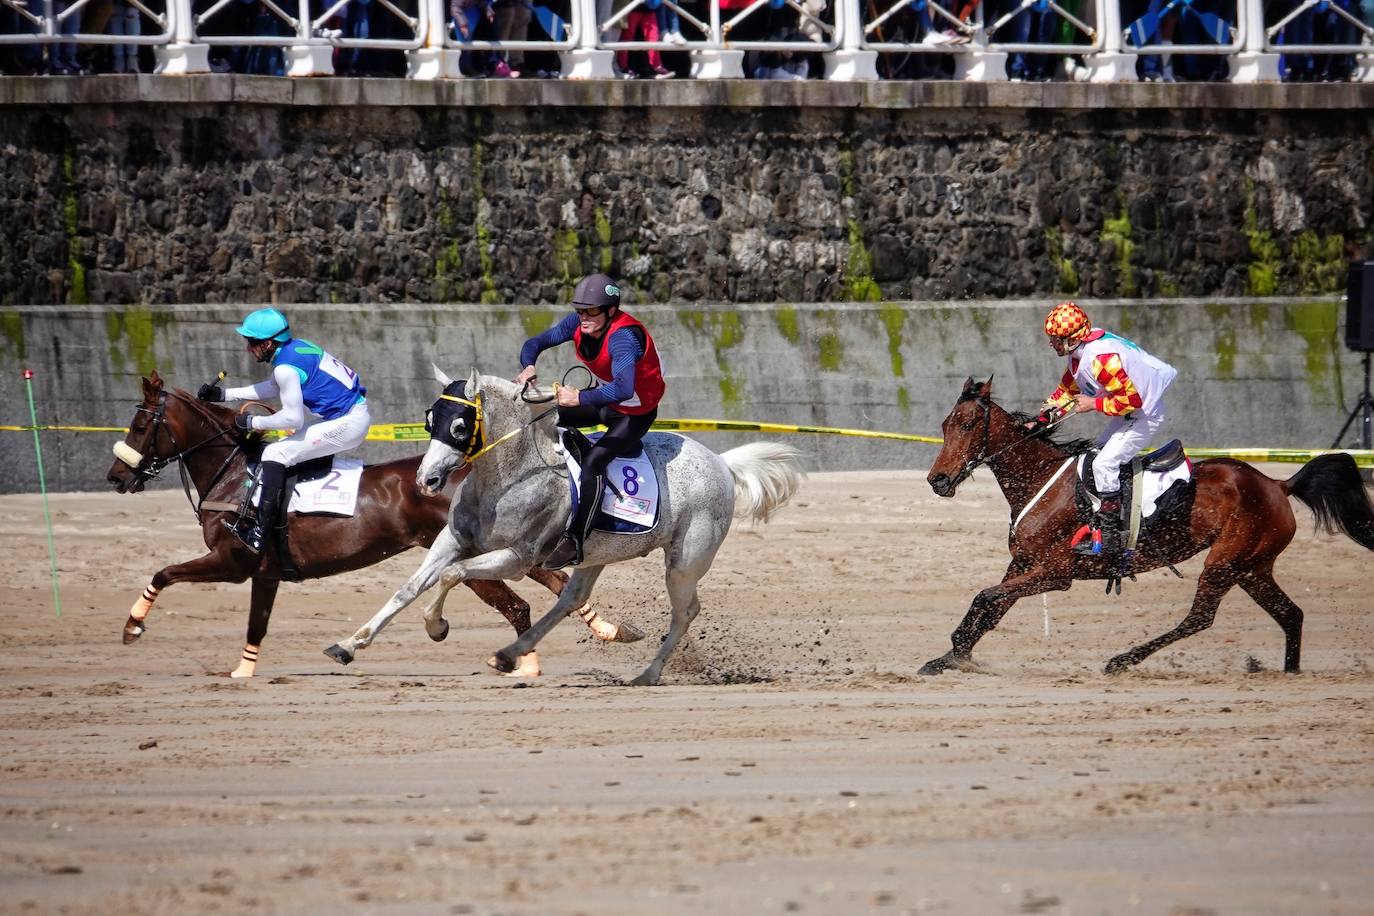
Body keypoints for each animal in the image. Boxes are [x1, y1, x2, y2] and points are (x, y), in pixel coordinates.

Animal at [109, 373, 640, 681]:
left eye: (140, 424)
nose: (116, 477)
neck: (238, 476)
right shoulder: (265, 572)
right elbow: (256, 622)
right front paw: (244, 671)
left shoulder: (233, 560)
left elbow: (163, 572)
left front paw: (133, 625)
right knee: (548, 581)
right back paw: (603, 631)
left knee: (524, 597)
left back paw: (536, 655)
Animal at [917, 376, 1374, 678]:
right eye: (944, 425)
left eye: (968, 425)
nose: (938, 479)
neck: (1042, 481)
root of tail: (1278, 484)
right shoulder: (1024, 564)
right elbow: (992, 606)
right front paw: (948, 657)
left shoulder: (1055, 573)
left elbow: (984, 597)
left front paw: (954, 652)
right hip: (1252, 567)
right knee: (1291, 615)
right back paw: (1289, 672)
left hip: (1225, 562)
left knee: (1199, 618)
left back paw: (1122, 660)